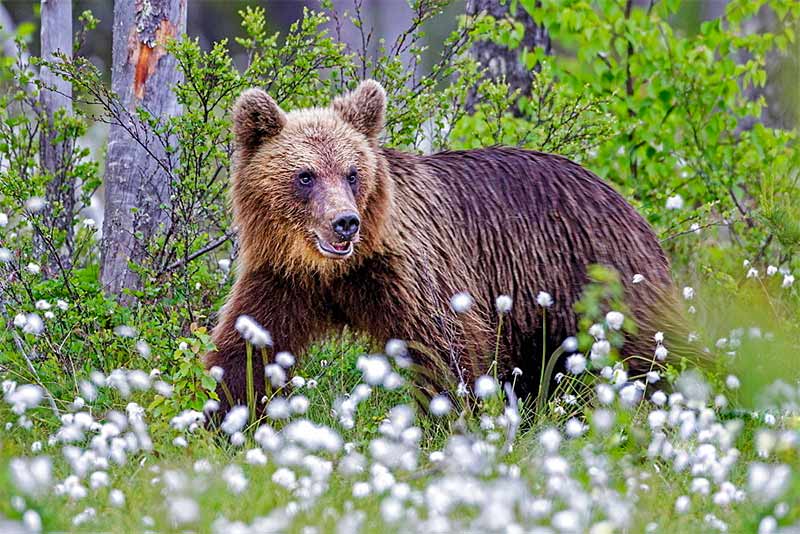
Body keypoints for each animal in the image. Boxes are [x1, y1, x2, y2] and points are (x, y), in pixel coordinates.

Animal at [208, 78, 700, 406]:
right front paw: (227, 417)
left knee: (652, 349)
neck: (336, 270)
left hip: (598, 274)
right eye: (305, 175)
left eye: (352, 173)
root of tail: (624, 200)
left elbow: (444, 348)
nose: (345, 223)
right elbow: (247, 347)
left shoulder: (412, 268)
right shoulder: (283, 277)